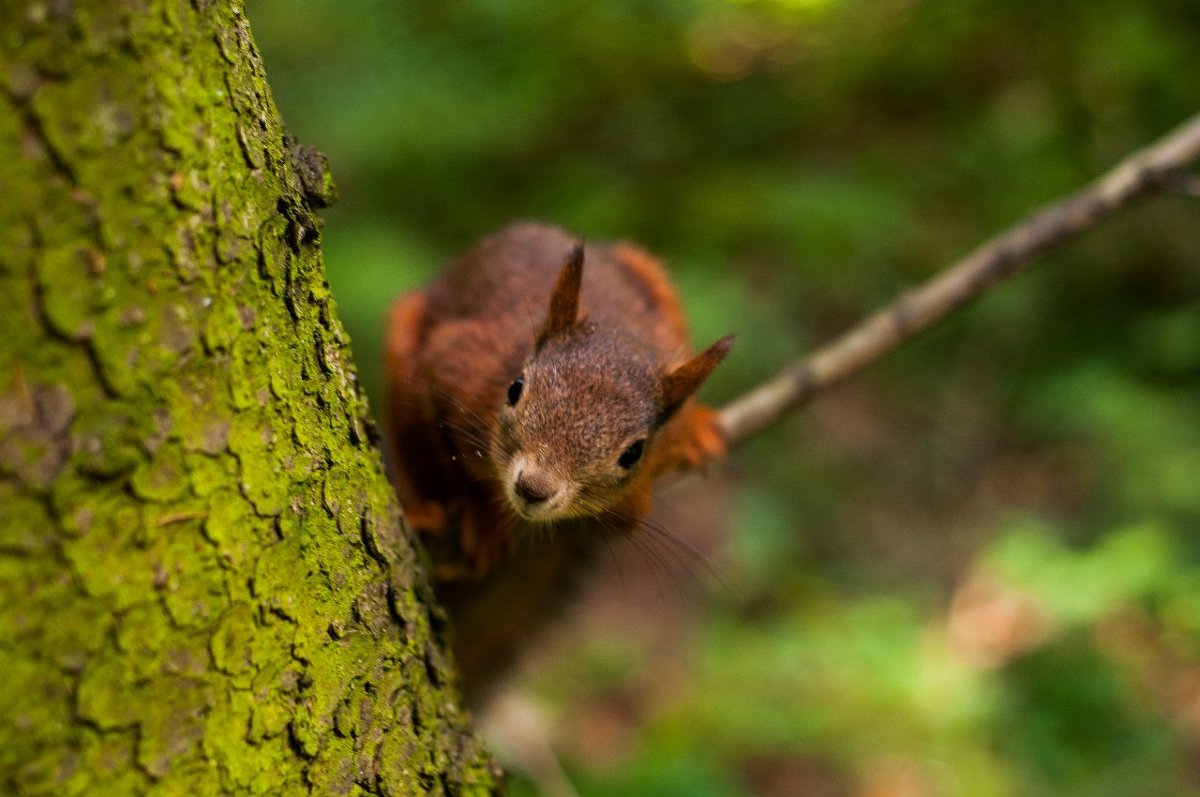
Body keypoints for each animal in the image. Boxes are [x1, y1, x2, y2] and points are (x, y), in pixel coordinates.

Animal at [388, 220, 734, 700]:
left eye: (634, 452)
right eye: (514, 388)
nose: (532, 488)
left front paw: (629, 506)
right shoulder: (453, 366)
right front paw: (484, 520)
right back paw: (428, 510)